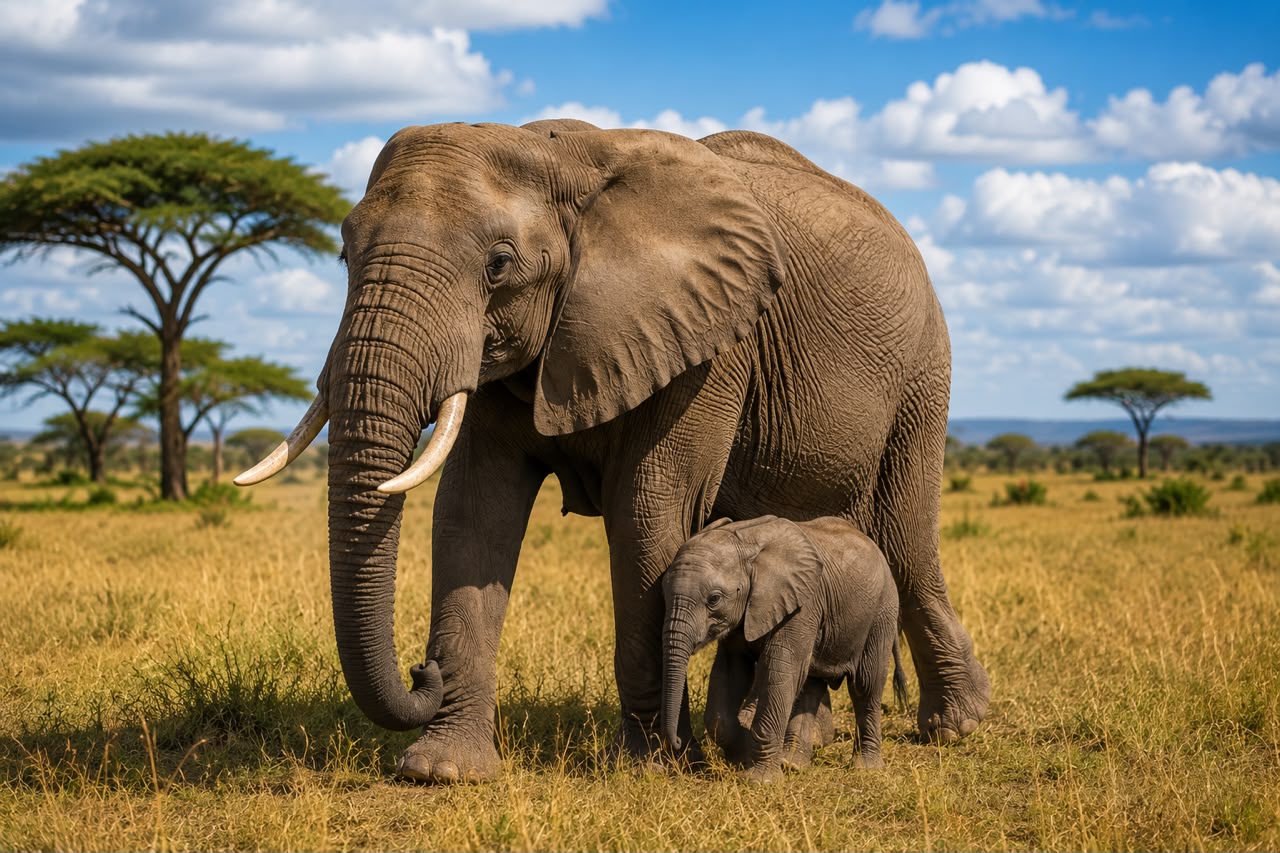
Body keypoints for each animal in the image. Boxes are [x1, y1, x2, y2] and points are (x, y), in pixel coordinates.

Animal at [660, 515, 908, 781]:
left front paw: (758, 780)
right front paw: (742, 757)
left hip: (881, 613)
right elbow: (729, 675)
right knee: (811, 684)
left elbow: (779, 671)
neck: (746, 544)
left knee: (865, 685)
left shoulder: (802, 606)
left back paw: (865, 768)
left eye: (714, 599)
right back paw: (793, 764)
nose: (676, 742)